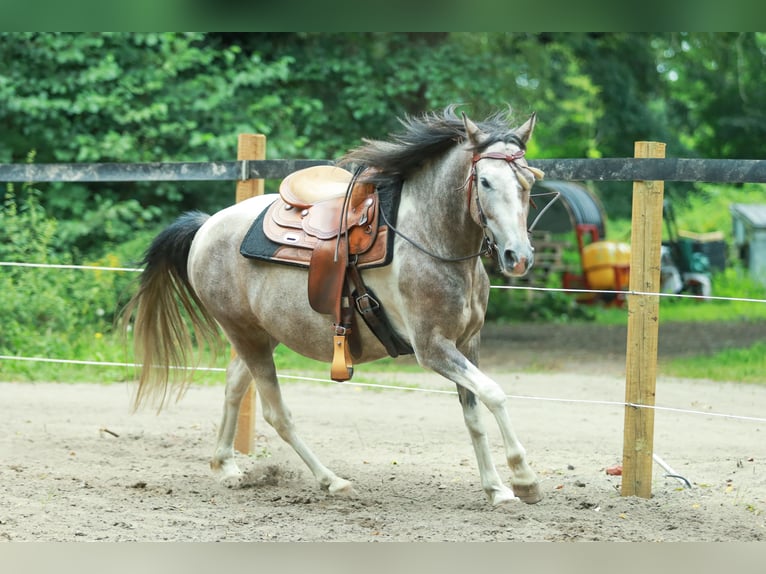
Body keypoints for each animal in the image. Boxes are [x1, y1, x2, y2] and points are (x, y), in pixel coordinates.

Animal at [124, 106, 544, 506]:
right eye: (485, 181)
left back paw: (226, 466)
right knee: (276, 413)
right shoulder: (433, 349)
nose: (518, 257)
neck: (429, 240)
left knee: (233, 385)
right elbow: (494, 394)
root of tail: (207, 225)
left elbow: (473, 414)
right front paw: (523, 480)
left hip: (261, 335)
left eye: (528, 181)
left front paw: (496, 489)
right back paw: (332, 481)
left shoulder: (467, 343)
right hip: (245, 334)